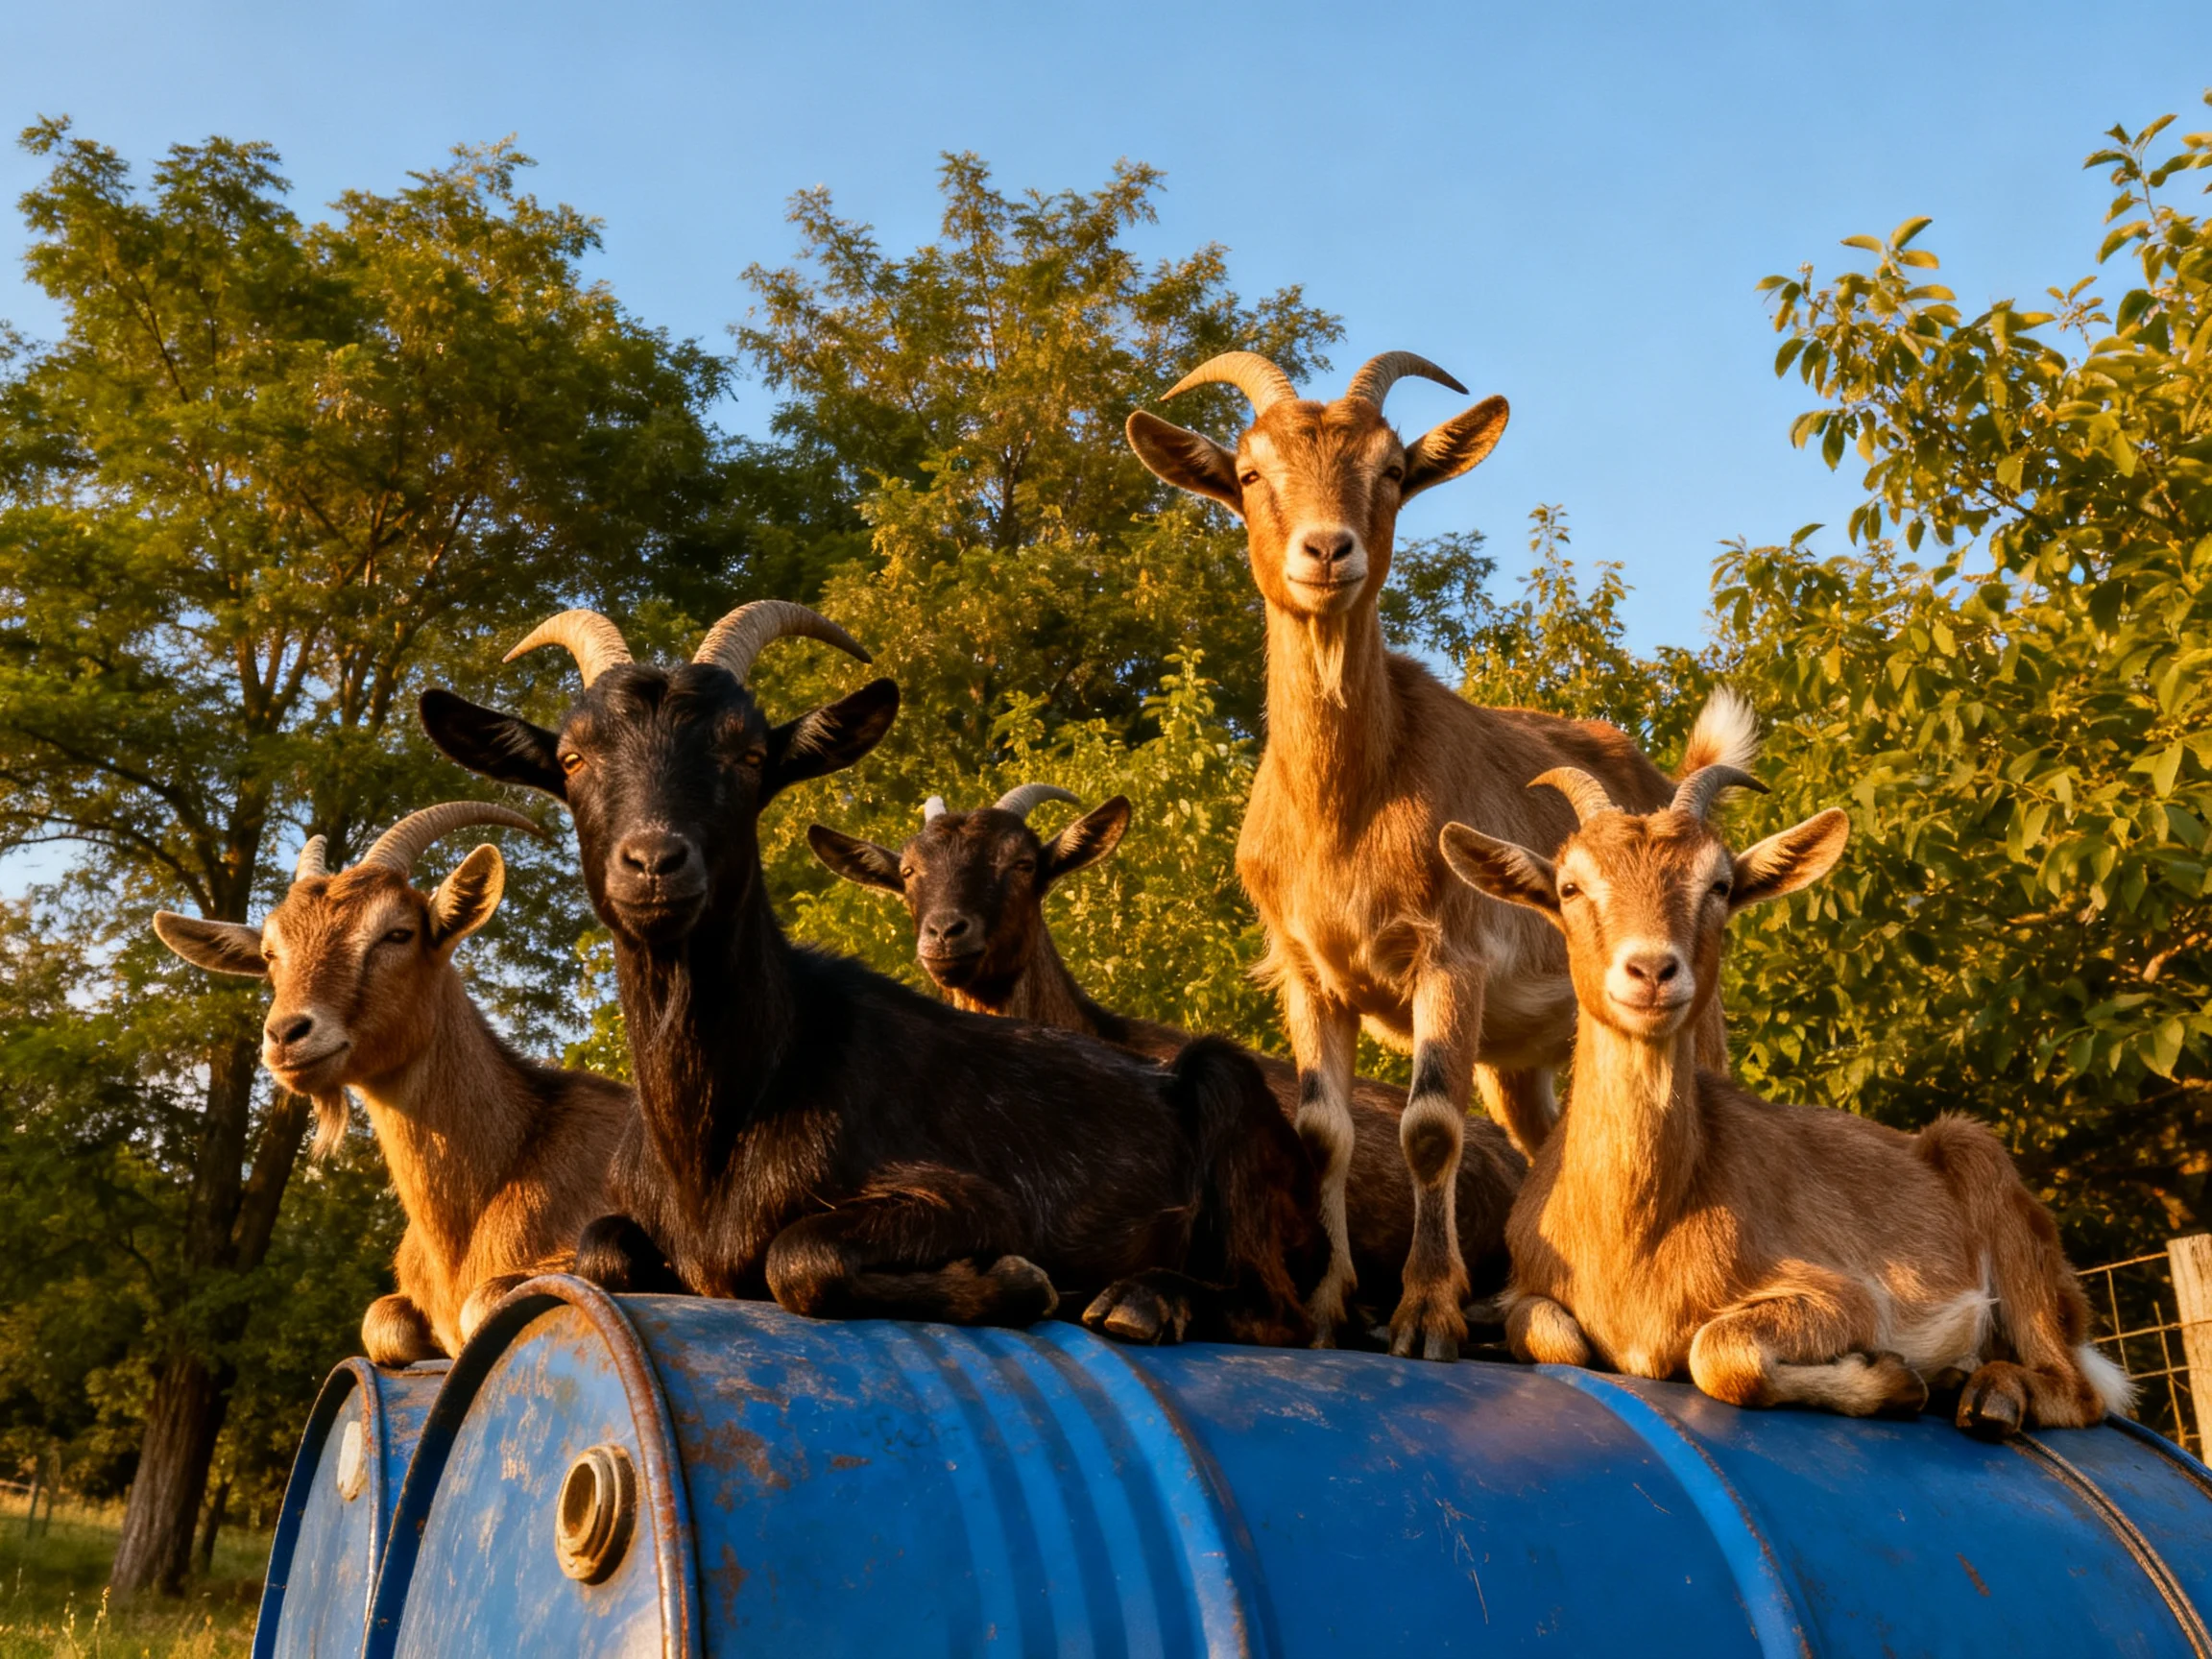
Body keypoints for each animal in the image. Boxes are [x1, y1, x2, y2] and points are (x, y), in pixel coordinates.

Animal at [417, 602, 1323, 1347]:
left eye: (750, 753)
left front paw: (1018, 1282)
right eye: (572, 758)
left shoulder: (974, 1196)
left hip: (1229, 1095)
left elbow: (798, 1256)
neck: (717, 1133)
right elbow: (602, 1247)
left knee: (1279, 1309)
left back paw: (1139, 1299)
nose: (653, 863)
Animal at [1126, 348, 1749, 1358]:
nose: (1327, 552)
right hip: (1523, 1057)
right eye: (1250, 474)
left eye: (1390, 470)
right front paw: (1329, 1305)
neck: (1347, 810)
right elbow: (1323, 1132)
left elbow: (1427, 1128)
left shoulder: (1447, 957)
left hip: (1694, 1012)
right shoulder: (1308, 973)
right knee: (1543, 1144)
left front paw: (1425, 1312)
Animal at [1439, 764, 2135, 1436]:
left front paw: (1893, 1378)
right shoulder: (1531, 1291)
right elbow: (1549, 1335)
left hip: (1994, 1187)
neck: (1631, 1240)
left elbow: (1717, 1350)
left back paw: (1987, 1395)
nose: (1652, 972)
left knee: (2076, 1388)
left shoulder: (1845, 1295)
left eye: (1720, 885)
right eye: (1570, 888)